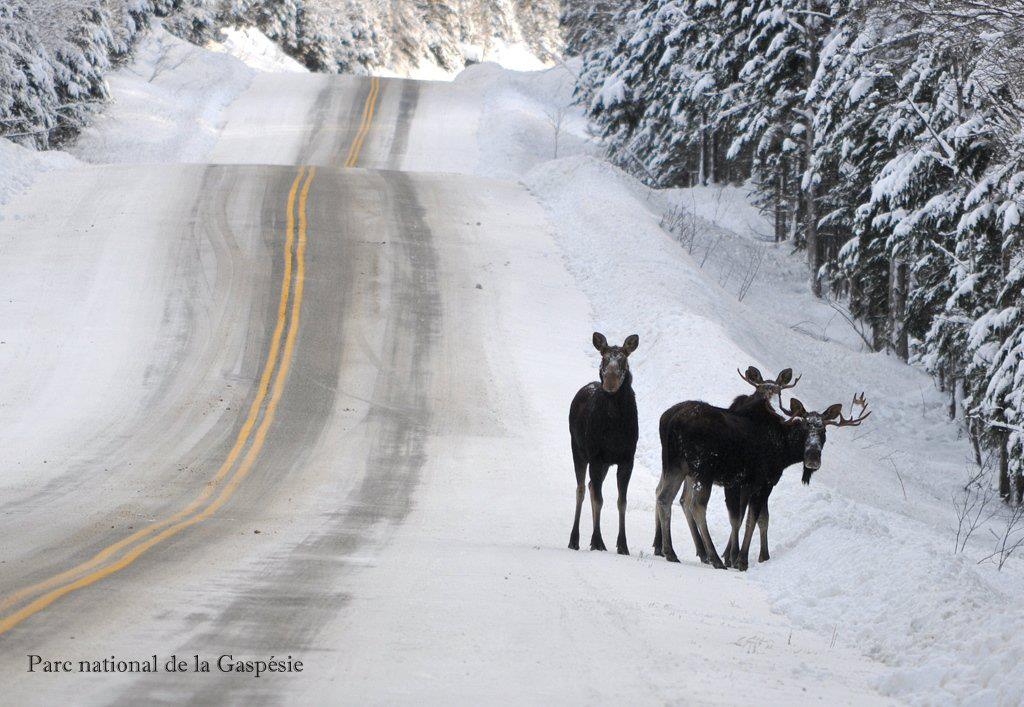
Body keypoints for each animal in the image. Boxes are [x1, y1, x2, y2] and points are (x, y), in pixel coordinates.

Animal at [569, 334, 638, 553]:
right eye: (603, 357)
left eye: (624, 358)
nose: (610, 380)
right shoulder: (596, 457)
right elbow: (599, 500)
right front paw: (597, 541)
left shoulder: (626, 459)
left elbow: (621, 501)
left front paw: (622, 545)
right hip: (579, 451)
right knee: (582, 489)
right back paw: (574, 539)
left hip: (605, 463)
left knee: (591, 486)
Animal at [655, 366, 864, 565]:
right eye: (804, 429)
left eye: (824, 432)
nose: (813, 458)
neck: (784, 451)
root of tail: (670, 420)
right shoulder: (762, 482)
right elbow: (751, 519)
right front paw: (740, 559)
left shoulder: (743, 483)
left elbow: (755, 519)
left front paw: (758, 556)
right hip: (702, 470)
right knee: (695, 505)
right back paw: (713, 557)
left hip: (676, 466)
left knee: (665, 497)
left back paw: (671, 551)